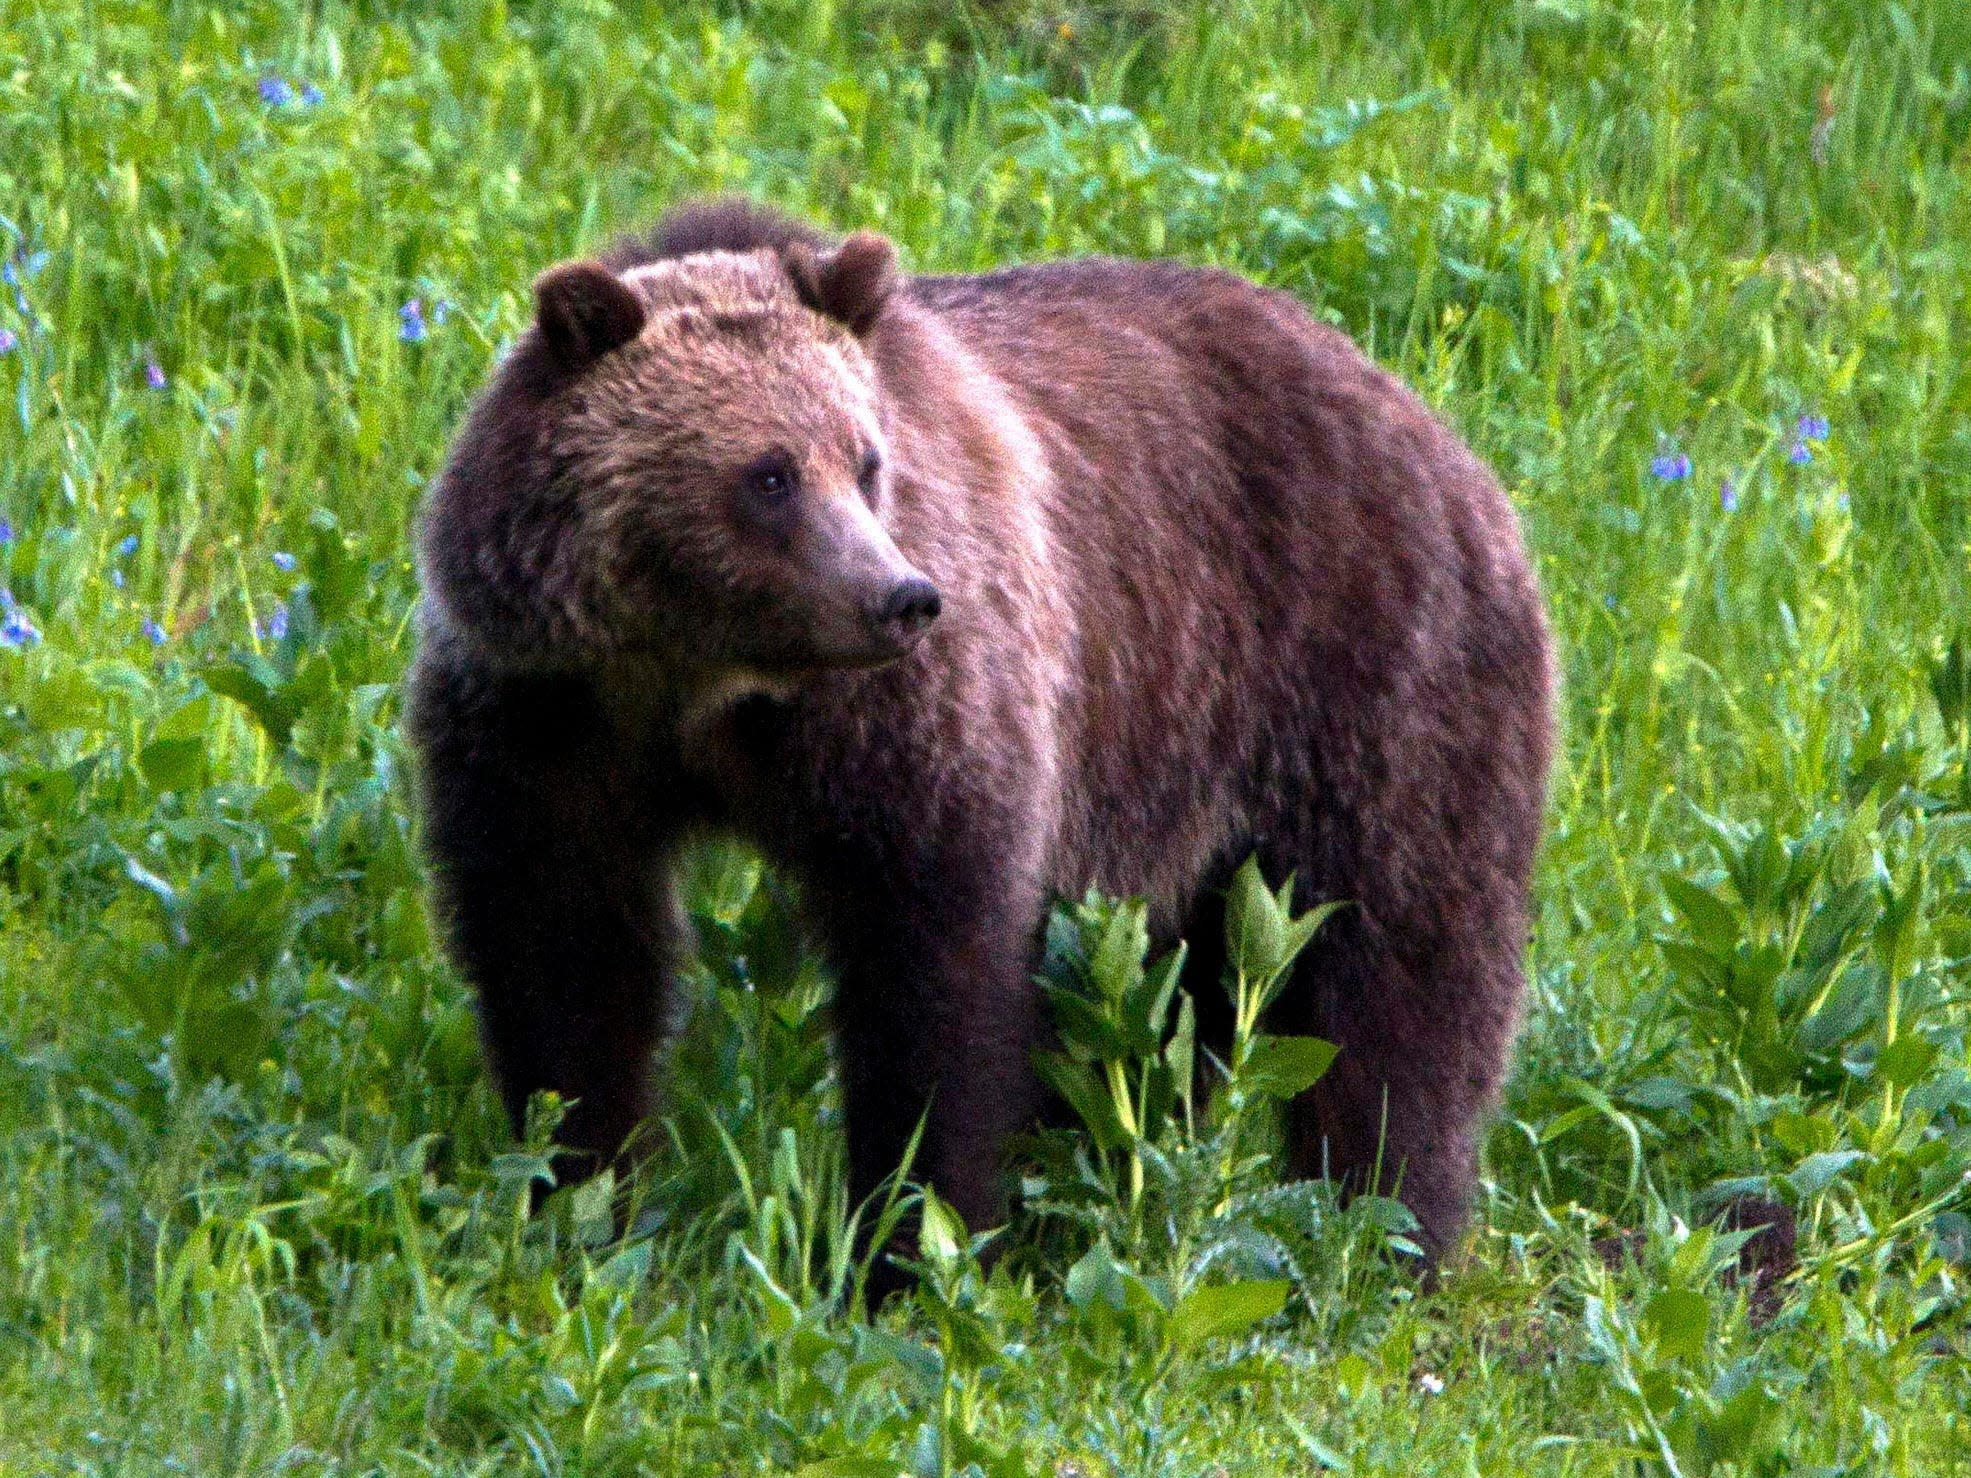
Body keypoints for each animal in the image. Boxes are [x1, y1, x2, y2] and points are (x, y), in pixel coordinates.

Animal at [411, 197, 1553, 1276]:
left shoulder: (908, 724)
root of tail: (1431, 422)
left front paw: (912, 1236)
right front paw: (578, 1193)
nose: (900, 597)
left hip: (1367, 681)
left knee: (1400, 972)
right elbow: (564, 951)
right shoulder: (548, 718)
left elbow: (936, 968)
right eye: (769, 474)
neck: (703, 682)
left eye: (865, 461)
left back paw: (1388, 1227)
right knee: (1177, 1002)